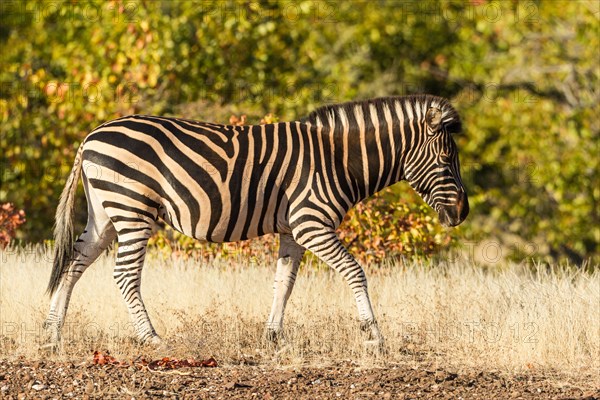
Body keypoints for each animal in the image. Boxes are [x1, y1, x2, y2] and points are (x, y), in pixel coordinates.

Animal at [42, 94, 468, 350]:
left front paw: (272, 335)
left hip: (105, 213)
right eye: (447, 161)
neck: (336, 159)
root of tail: (91, 136)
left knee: (74, 264)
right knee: (124, 274)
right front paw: (373, 334)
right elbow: (355, 271)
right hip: (132, 207)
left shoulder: (293, 229)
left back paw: (52, 333)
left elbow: (284, 283)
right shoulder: (312, 223)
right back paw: (151, 338)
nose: (462, 213)